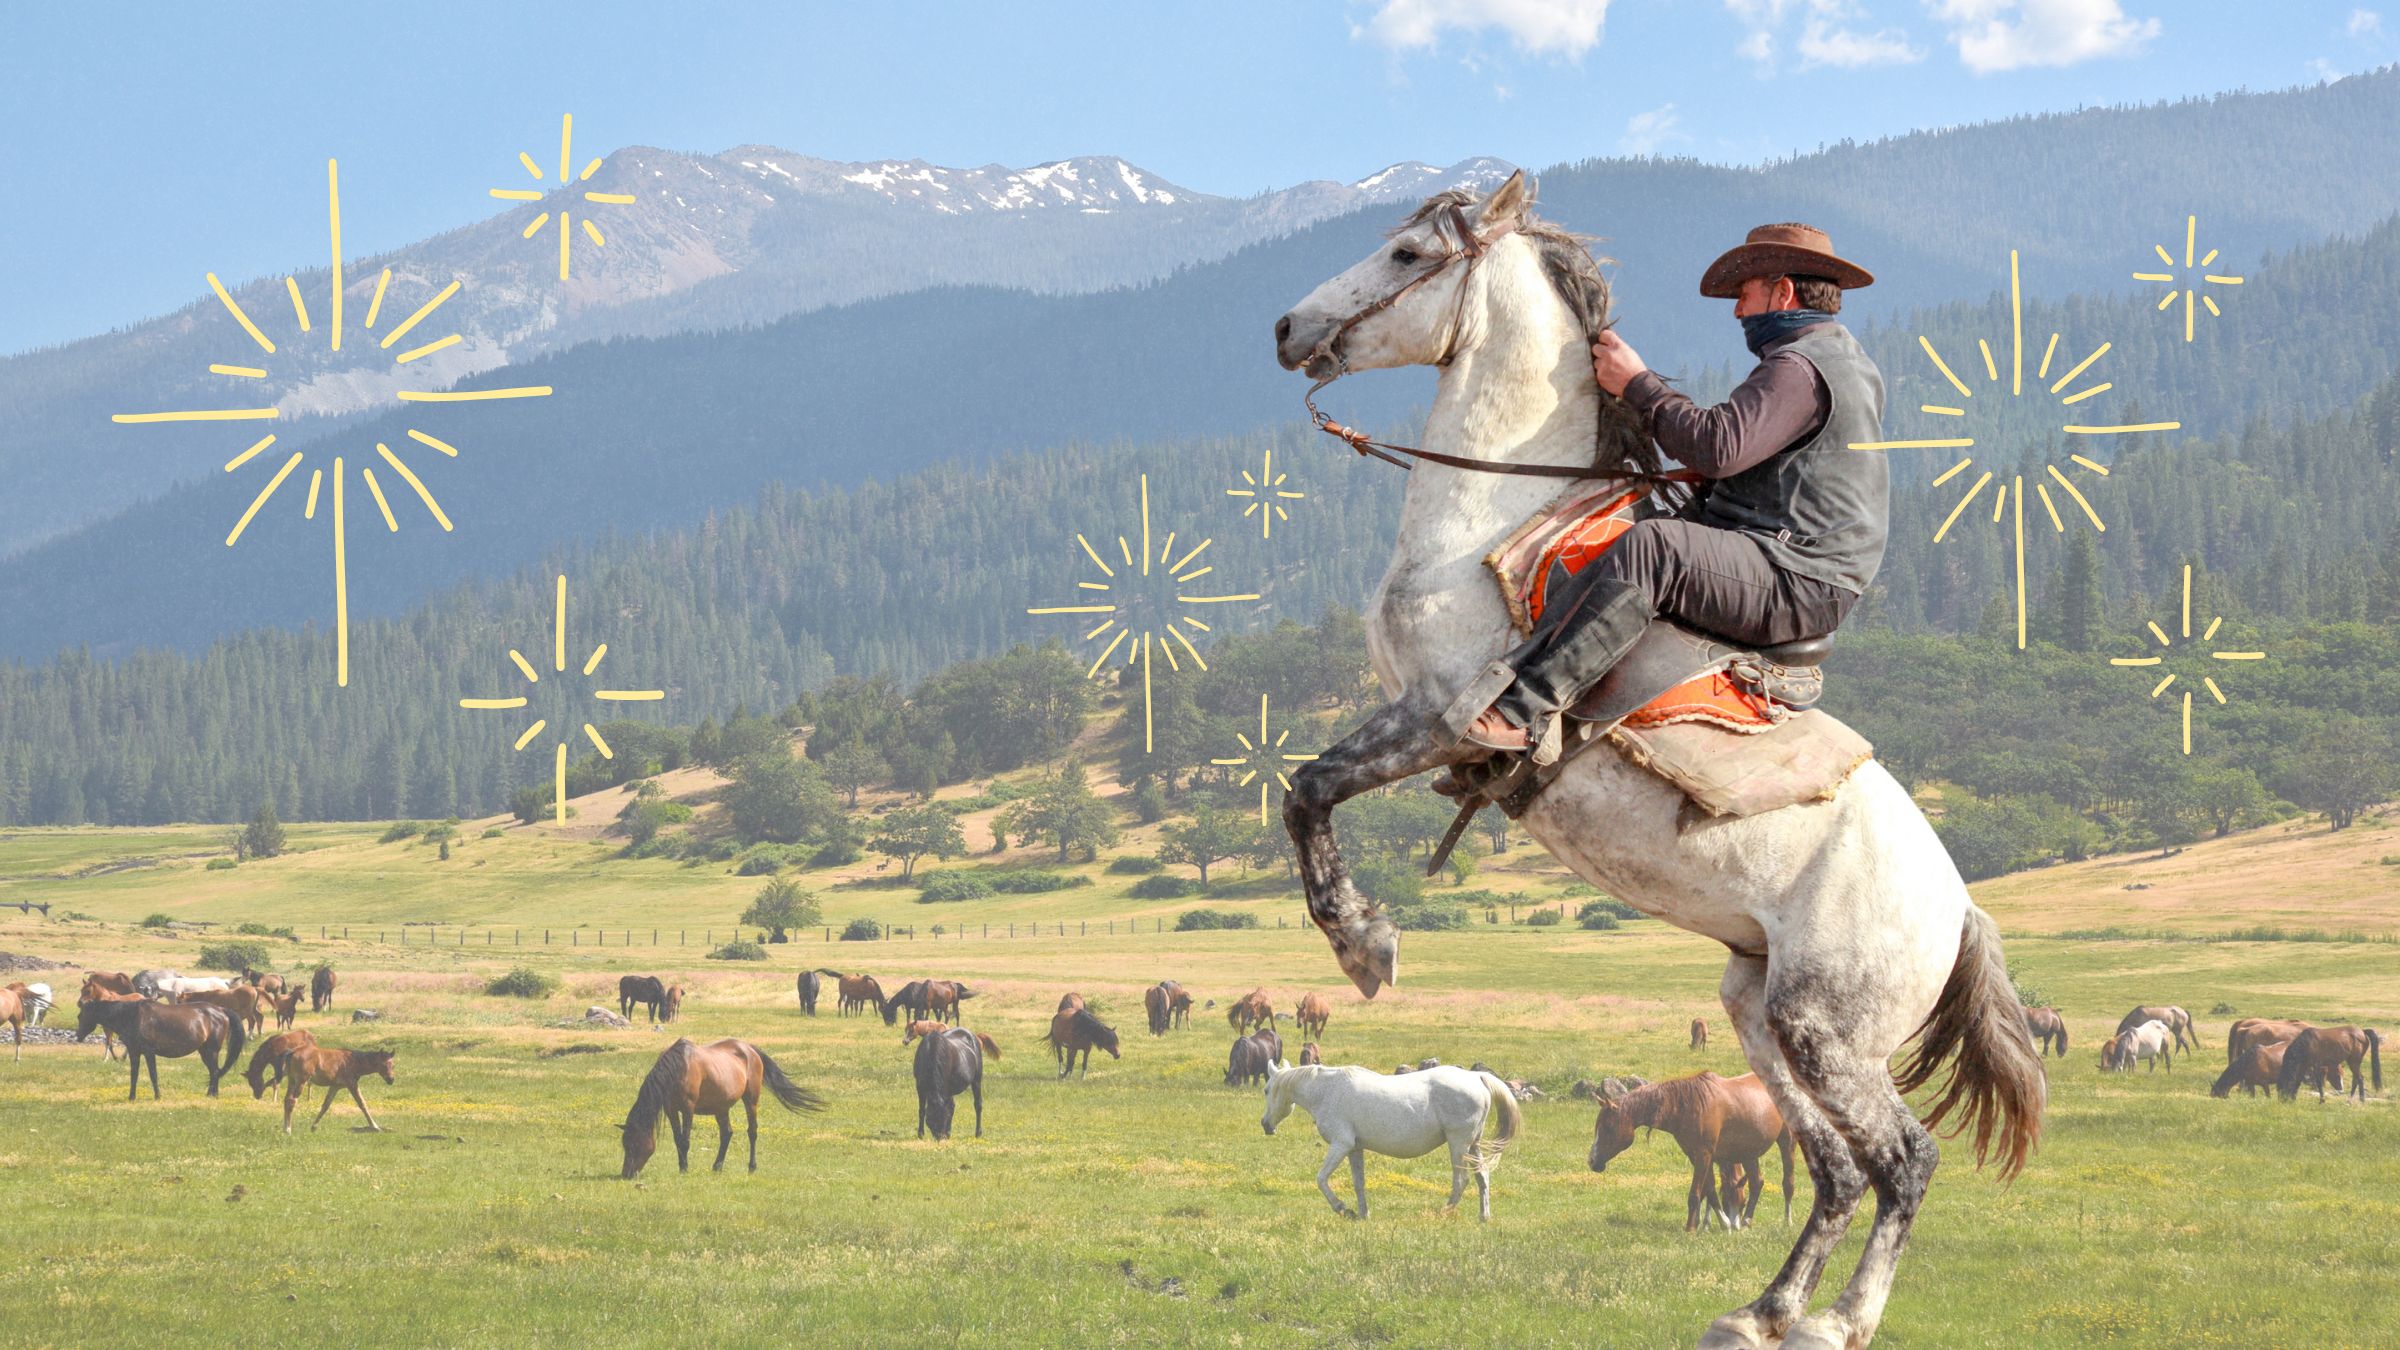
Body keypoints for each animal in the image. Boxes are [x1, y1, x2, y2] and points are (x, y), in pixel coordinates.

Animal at [75, 995, 245, 1099]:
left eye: (80, 1015)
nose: (78, 1036)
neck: (132, 1016)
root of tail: (221, 1010)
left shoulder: (149, 1053)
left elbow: (153, 1075)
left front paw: (157, 1096)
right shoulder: (134, 1053)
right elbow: (134, 1075)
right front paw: (131, 1097)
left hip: (211, 1051)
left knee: (215, 1071)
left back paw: (212, 1095)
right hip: (204, 1051)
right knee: (213, 1071)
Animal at [619, 1037, 824, 1177]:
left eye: (634, 1143)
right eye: (625, 1144)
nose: (626, 1174)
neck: (679, 1068)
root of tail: (750, 1049)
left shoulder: (688, 1108)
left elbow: (685, 1140)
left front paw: (684, 1169)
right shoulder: (671, 1109)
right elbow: (677, 1139)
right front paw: (682, 1166)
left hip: (751, 1100)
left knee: (752, 1131)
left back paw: (751, 1167)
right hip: (721, 1108)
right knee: (726, 1133)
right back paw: (717, 1166)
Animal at [1260, 1061, 1523, 1222]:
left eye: (1266, 1090)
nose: (1265, 1124)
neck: (1327, 1091)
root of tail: (1476, 1077)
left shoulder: (1341, 1145)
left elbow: (1321, 1179)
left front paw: (1342, 1208)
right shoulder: (1355, 1148)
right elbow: (1358, 1183)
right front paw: (1363, 1214)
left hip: (1458, 1143)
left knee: (1461, 1180)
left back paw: (1443, 1212)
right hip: (1473, 1145)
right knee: (1482, 1176)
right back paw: (1484, 1217)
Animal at [1589, 1072, 1796, 1233]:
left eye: (1608, 1127)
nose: (1592, 1161)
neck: (1687, 1106)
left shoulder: (1704, 1154)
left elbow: (1695, 1193)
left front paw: (1691, 1228)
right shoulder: (1698, 1156)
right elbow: (1709, 1191)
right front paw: (1716, 1223)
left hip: (1787, 1141)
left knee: (1788, 1183)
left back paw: (1787, 1222)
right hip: (1749, 1153)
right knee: (1756, 1182)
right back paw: (1746, 1221)